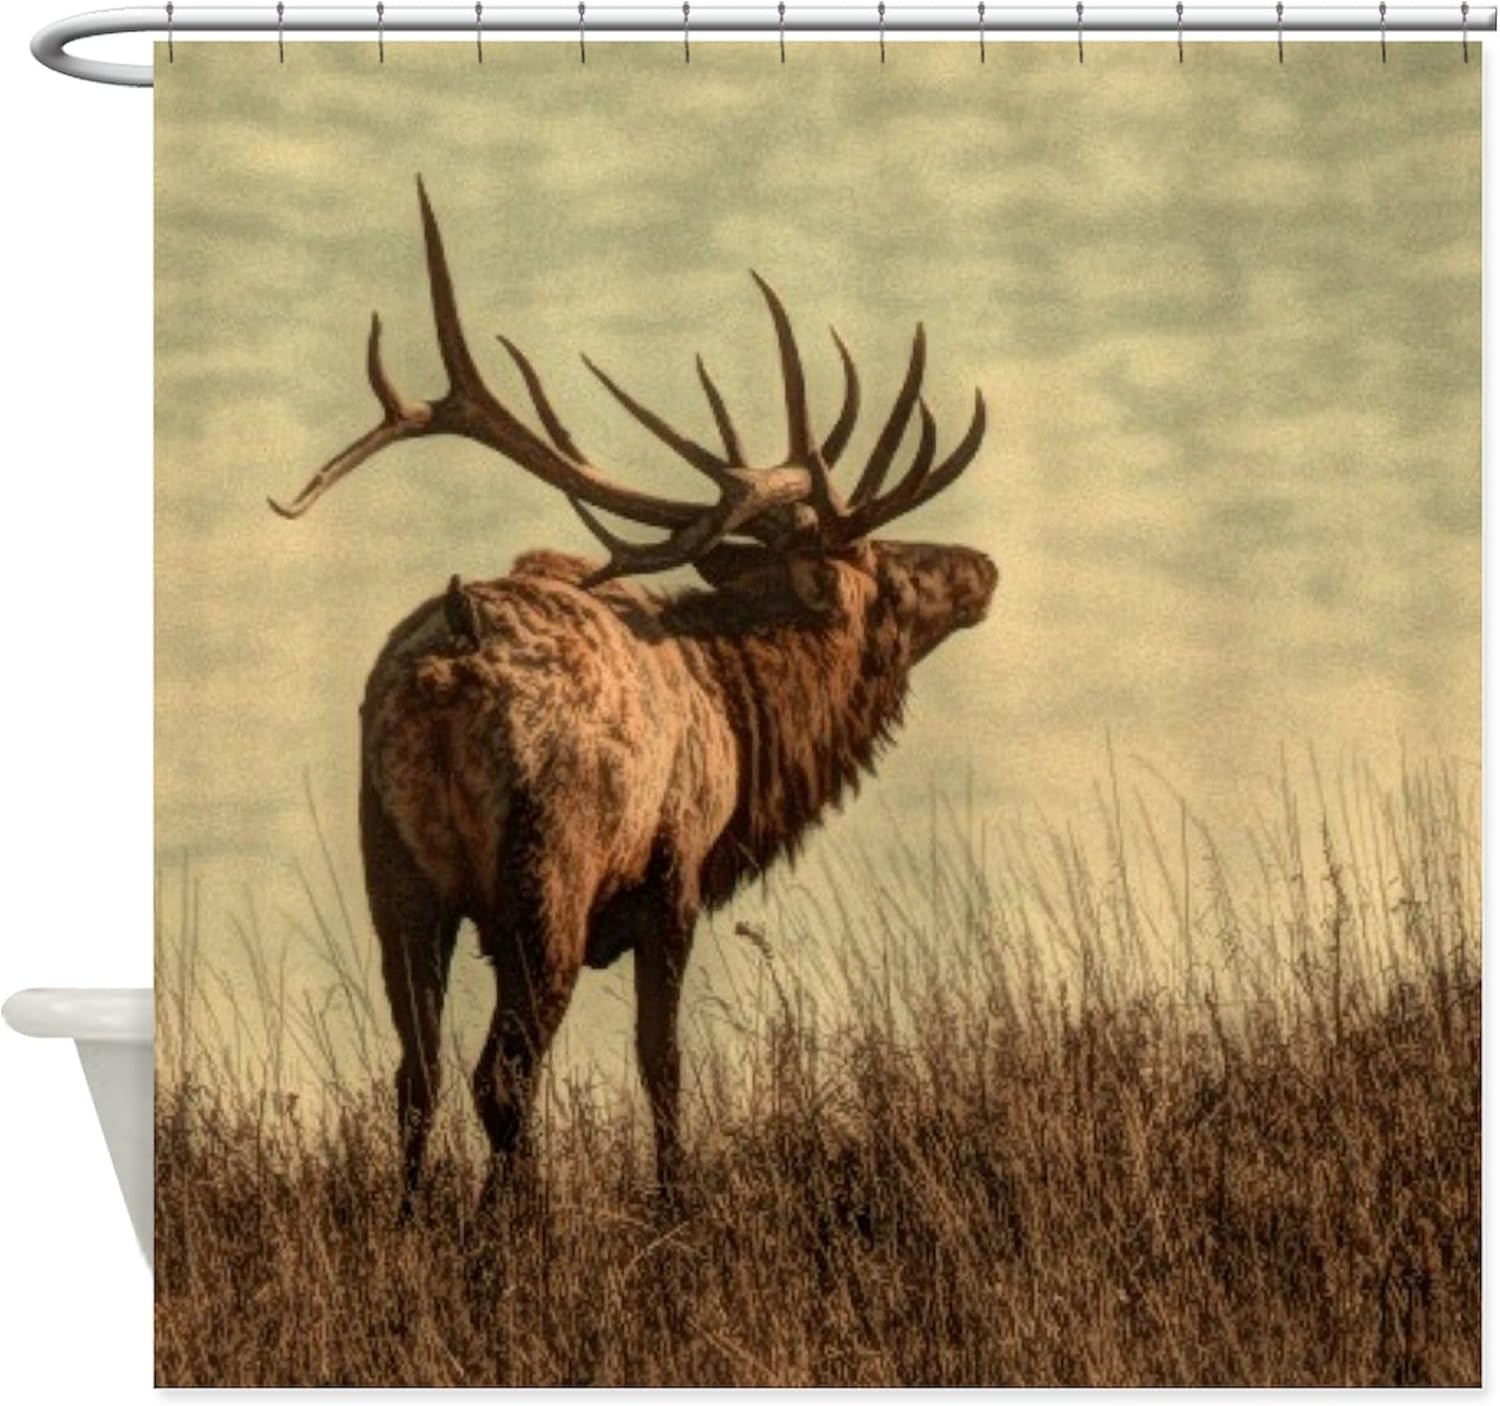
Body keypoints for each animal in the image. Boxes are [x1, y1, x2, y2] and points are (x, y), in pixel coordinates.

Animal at [269, 178, 999, 1218]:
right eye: (889, 574)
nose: (981, 568)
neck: (746, 719)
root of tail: (448, 665)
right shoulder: (674, 873)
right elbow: (663, 1062)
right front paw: (677, 1200)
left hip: (392, 870)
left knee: (416, 1073)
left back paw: (412, 1219)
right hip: (548, 869)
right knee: (502, 1073)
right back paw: (514, 1222)